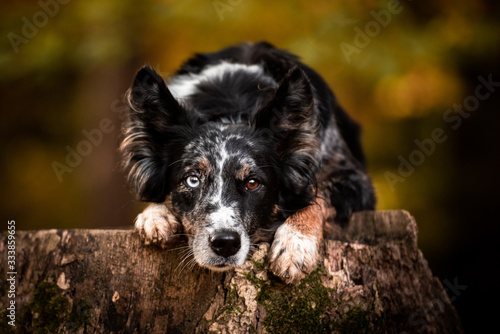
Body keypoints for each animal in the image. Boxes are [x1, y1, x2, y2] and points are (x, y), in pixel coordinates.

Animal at [119, 40, 374, 284]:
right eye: (192, 180)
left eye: (253, 183)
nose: (225, 243)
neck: (231, 108)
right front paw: (155, 215)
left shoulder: (354, 180)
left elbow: (316, 198)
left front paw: (295, 244)